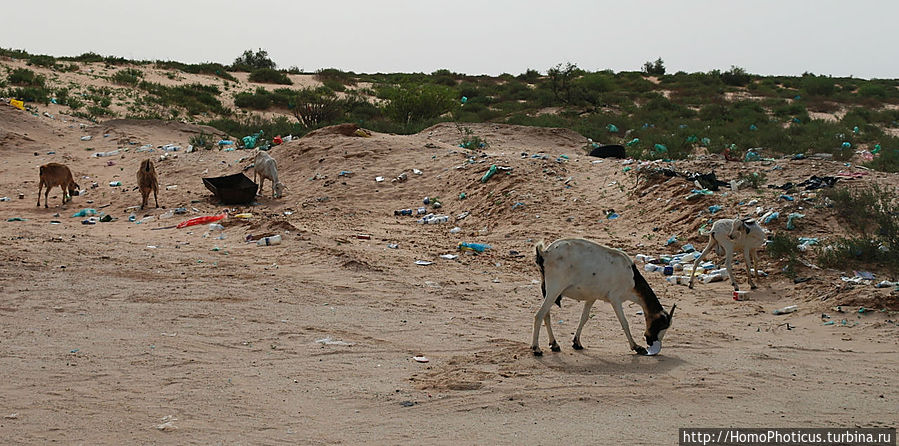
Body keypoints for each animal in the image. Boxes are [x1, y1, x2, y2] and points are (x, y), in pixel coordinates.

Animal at [536, 239, 676, 358]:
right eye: (661, 324)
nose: (651, 342)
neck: (632, 278)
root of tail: (545, 253)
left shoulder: (592, 297)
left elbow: (584, 318)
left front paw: (577, 343)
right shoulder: (615, 299)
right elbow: (624, 322)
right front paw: (637, 347)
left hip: (549, 291)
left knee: (546, 315)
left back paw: (554, 344)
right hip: (555, 288)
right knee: (539, 315)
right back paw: (536, 349)